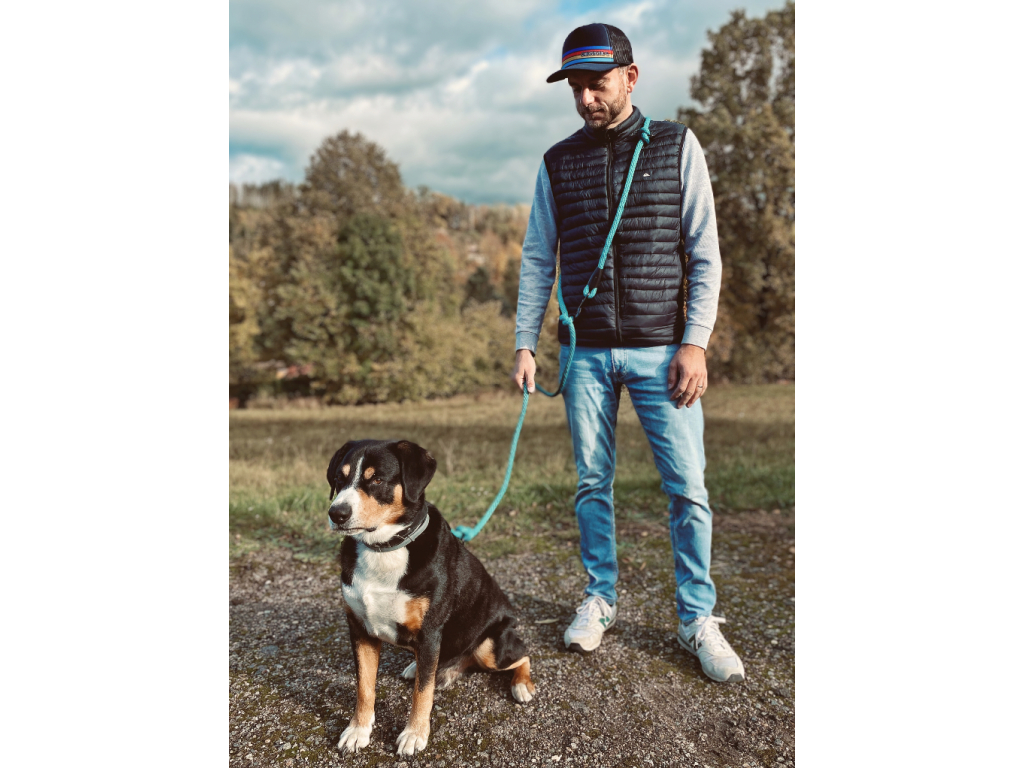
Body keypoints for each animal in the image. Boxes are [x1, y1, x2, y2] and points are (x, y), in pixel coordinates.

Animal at [326, 439, 536, 756]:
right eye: (340, 478)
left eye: (377, 480)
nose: (336, 513)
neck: (384, 549)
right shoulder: (360, 630)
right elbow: (364, 686)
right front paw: (358, 730)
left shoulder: (429, 633)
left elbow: (422, 693)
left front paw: (414, 734)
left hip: (491, 646)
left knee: (522, 653)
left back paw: (521, 685)